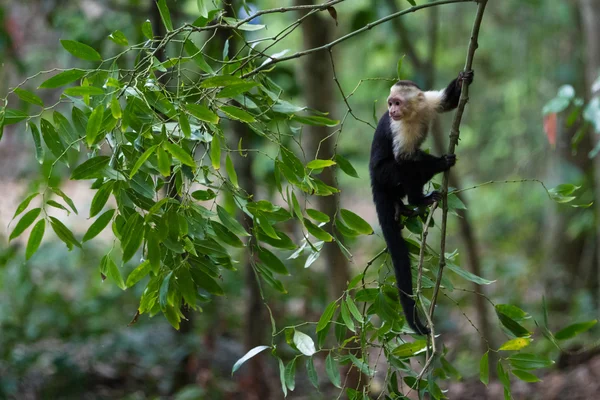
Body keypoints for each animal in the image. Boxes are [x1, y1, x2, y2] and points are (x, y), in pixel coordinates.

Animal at [368, 69, 476, 334]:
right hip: (382, 174)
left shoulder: (427, 103)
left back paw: (402, 206)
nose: (392, 111)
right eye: (390, 104)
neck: (411, 115)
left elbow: (448, 102)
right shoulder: (398, 129)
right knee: (402, 169)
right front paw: (440, 162)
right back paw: (419, 198)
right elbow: (405, 159)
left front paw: (463, 79)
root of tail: (372, 176)